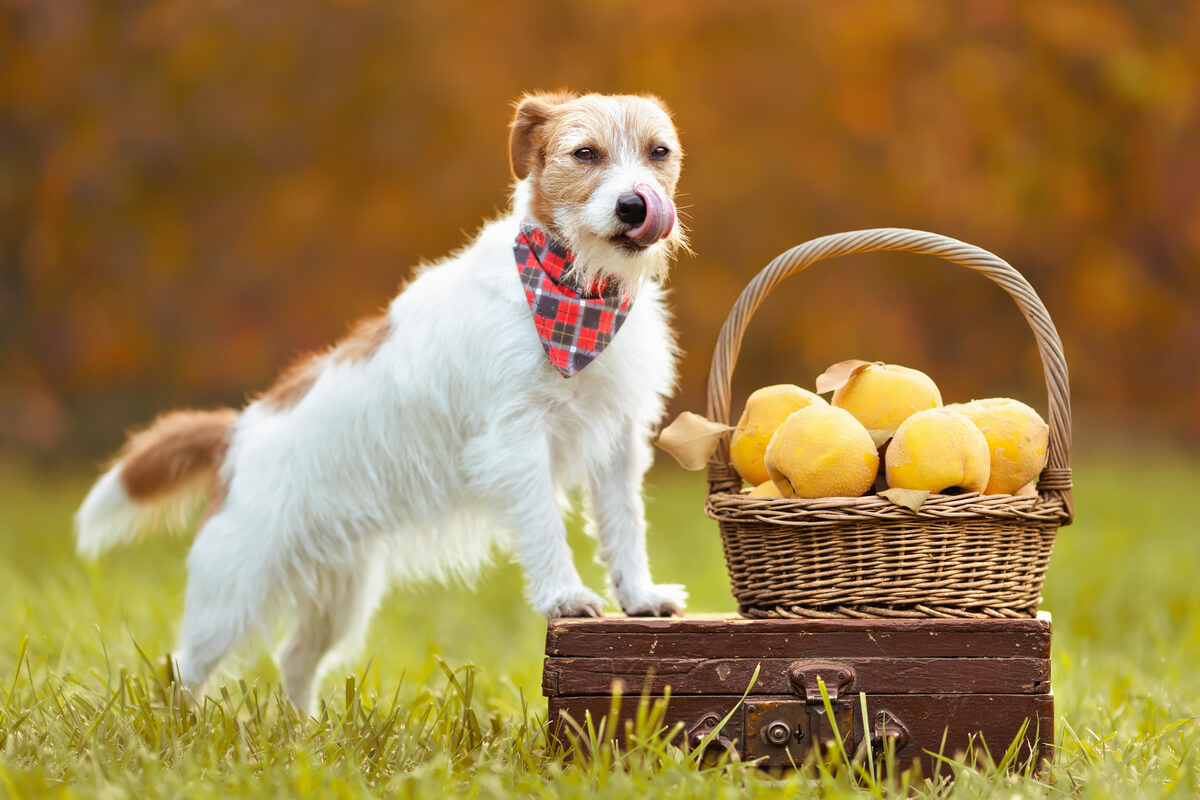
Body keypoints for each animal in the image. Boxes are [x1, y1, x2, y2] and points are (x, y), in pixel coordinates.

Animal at [75, 90, 691, 710]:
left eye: (658, 152)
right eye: (585, 153)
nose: (635, 205)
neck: (576, 298)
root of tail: (237, 434)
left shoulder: (617, 440)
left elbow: (624, 524)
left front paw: (639, 597)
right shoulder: (516, 443)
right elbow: (544, 525)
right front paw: (563, 596)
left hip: (340, 594)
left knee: (294, 657)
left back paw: (305, 729)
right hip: (231, 596)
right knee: (181, 669)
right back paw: (180, 726)